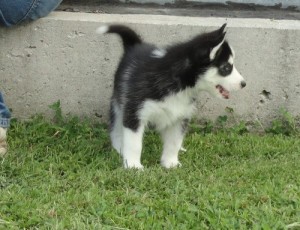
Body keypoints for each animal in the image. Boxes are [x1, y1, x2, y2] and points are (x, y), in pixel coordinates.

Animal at [96, 23, 246, 169]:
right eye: (226, 68)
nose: (244, 84)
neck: (179, 84)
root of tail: (135, 46)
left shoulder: (180, 117)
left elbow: (174, 142)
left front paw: (170, 163)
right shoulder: (135, 112)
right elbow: (134, 144)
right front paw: (133, 165)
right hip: (119, 102)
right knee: (116, 125)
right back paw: (119, 147)